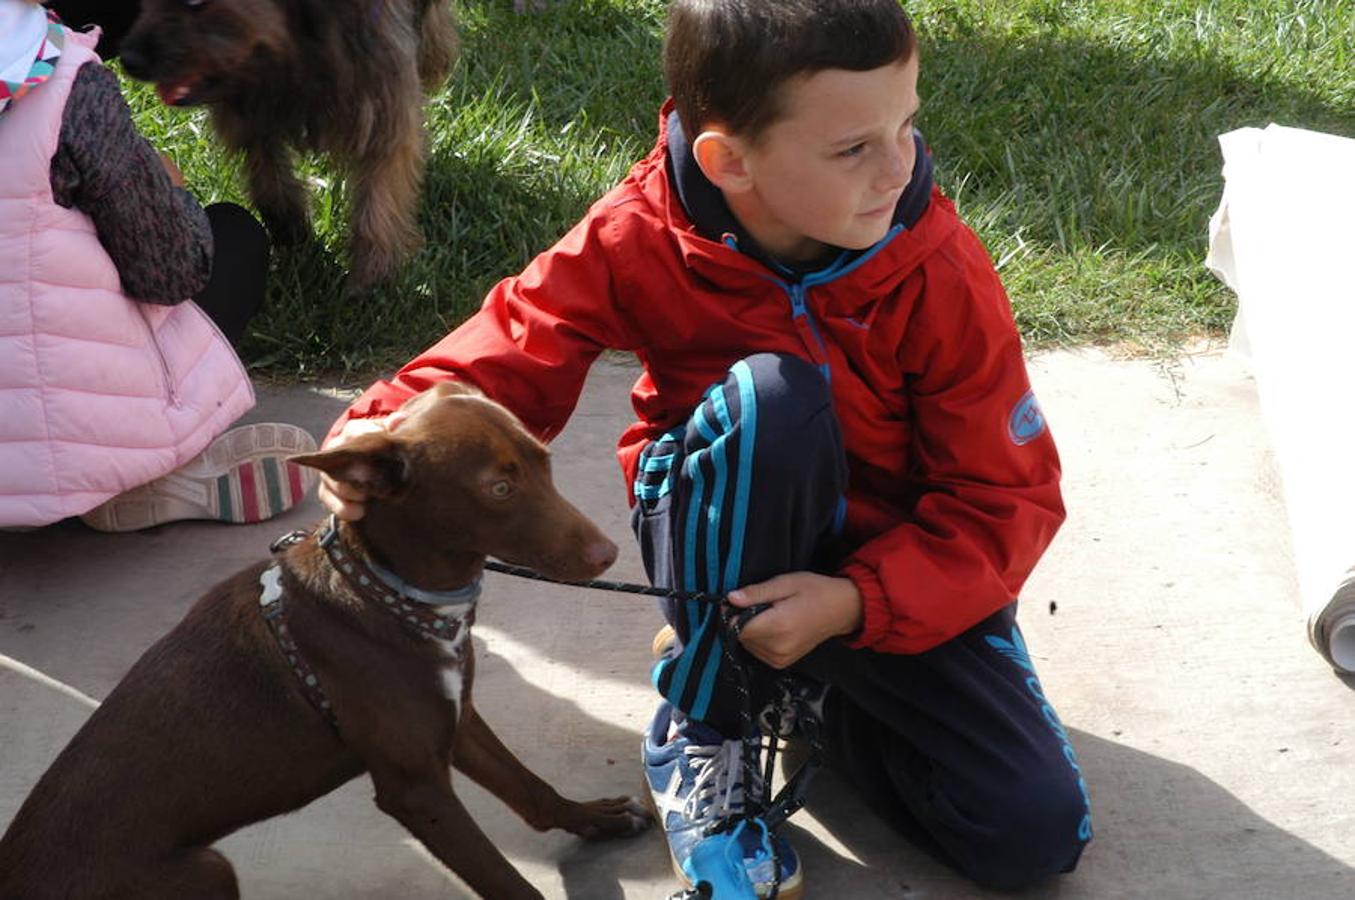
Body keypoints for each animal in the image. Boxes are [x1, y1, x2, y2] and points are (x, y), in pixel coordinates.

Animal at [0, 382, 650, 900]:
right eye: (498, 489)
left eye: (545, 460)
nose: (608, 554)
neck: (383, 591)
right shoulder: (415, 788)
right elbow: (505, 880)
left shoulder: (456, 720)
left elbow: (529, 788)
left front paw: (595, 819)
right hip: (205, 870)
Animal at [117, 0, 455, 288]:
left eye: (196, 2)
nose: (129, 60)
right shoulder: (251, 117)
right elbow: (269, 184)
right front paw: (292, 234)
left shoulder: (382, 100)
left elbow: (379, 199)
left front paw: (373, 277)